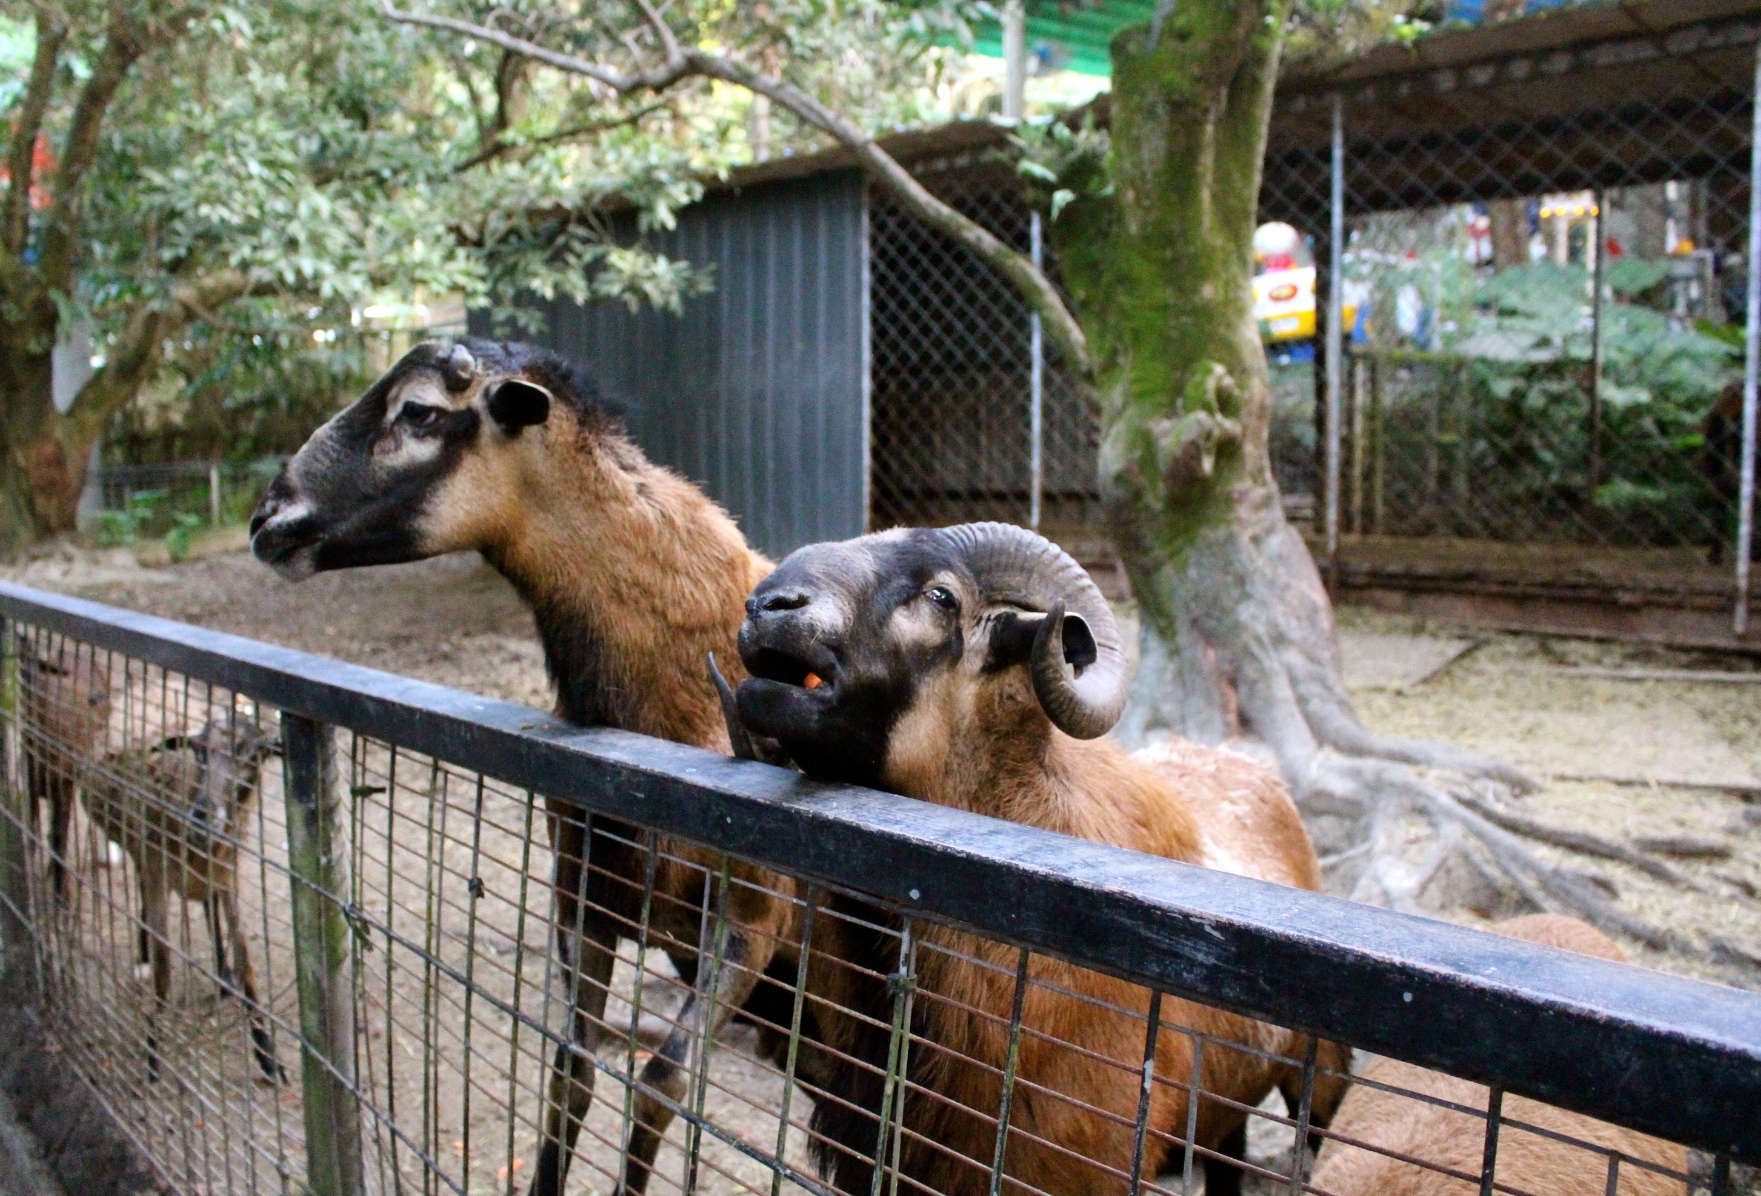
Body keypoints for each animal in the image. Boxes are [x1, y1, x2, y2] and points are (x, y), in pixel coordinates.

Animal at [18, 630, 113, 901]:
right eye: (20, 657)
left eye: (40, 664)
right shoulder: (31, 781)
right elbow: (33, 830)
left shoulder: (65, 786)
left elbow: (59, 837)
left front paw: (62, 896)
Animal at [78, 715, 285, 1092]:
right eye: (198, 752)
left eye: (253, 755)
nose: (202, 816)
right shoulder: (158, 873)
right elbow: (163, 972)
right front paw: (153, 1059)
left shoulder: (228, 878)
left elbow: (247, 966)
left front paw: (268, 1058)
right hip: (140, 854)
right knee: (144, 902)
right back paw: (144, 957)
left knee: (206, 908)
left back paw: (223, 978)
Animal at [250, 336, 810, 1196]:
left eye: (419, 411)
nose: (267, 519)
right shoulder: (585, 897)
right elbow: (570, 1070)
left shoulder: (752, 921)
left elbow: (661, 1082)